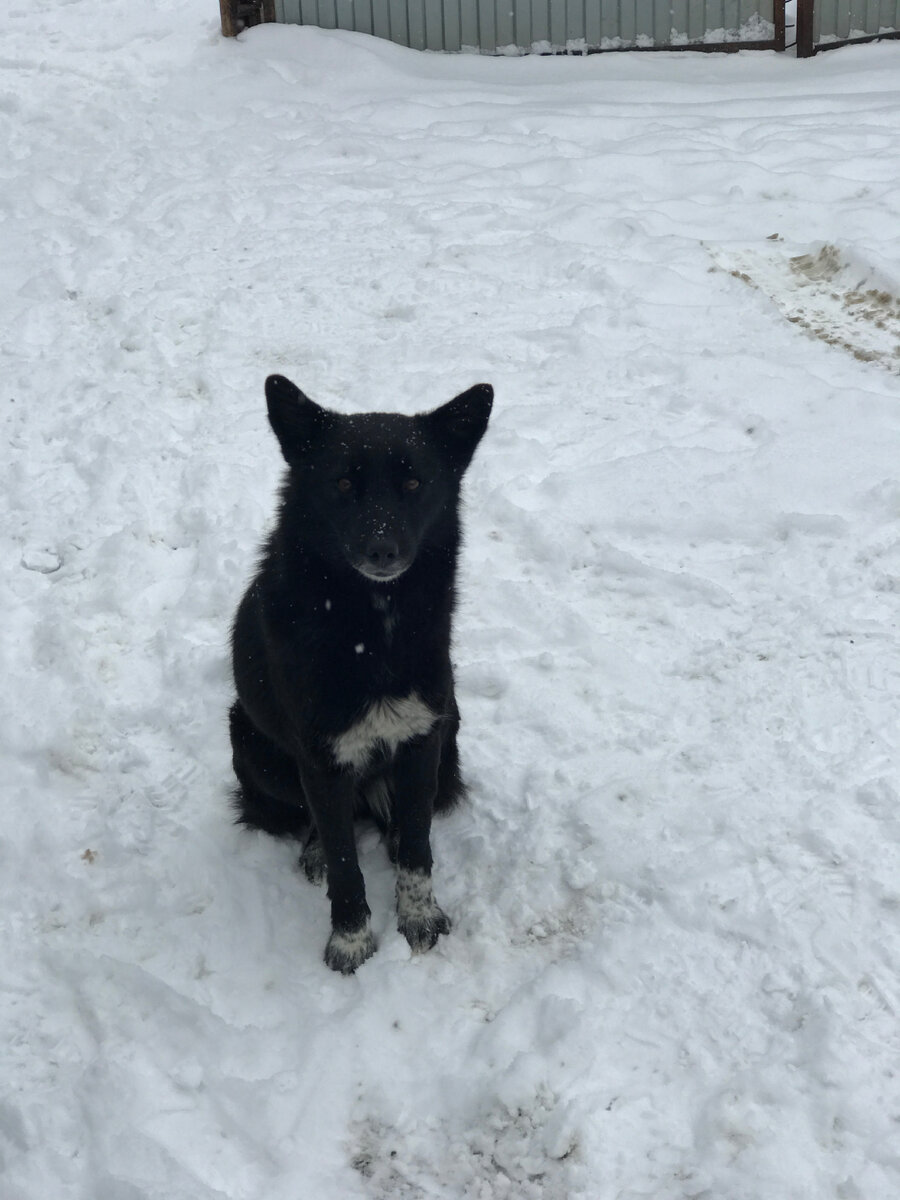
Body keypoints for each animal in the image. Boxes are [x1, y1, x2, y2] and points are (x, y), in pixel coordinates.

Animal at [225, 374, 494, 974]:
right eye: (344, 483)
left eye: (414, 481)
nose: (381, 551)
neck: (372, 624)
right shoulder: (322, 759)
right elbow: (347, 863)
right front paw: (351, 941)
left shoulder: (422, 739)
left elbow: (417, 849)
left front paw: (419, 918)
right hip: (254, 747)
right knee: (321, 821)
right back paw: (318, 850)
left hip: (452, 732)